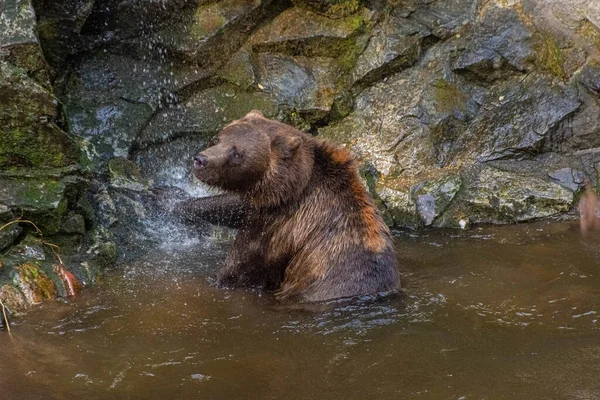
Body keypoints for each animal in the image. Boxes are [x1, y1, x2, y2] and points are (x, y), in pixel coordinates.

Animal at [164, 110, 398, 304]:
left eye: (237, 153)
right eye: (217, 138)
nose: (201, 160)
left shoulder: (276, 230)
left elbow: (237, 270)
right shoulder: (262, 209)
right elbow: (235, 207)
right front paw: (167, 198)